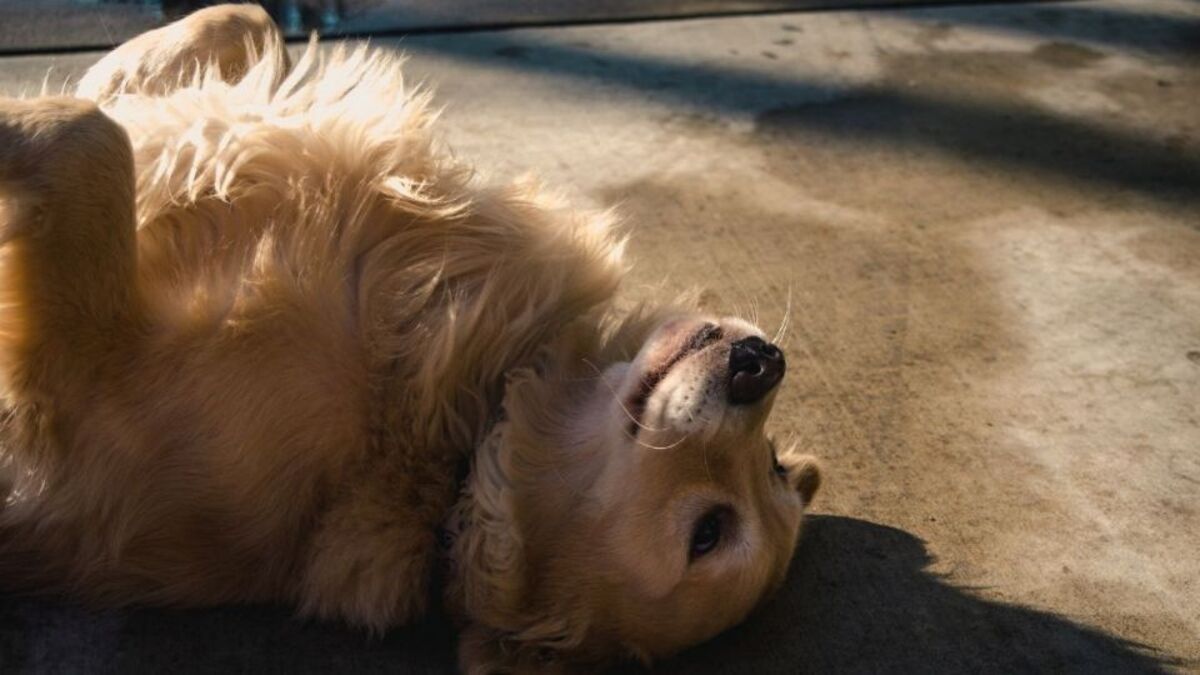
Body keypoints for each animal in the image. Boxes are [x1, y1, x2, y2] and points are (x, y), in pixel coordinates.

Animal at [0, 6, 816, 672]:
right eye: (774, 465)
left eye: (709, 533)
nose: (762, 363)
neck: (453, 443)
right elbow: (237, 24)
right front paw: (134, 71)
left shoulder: (87, 381)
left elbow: (90, 138)